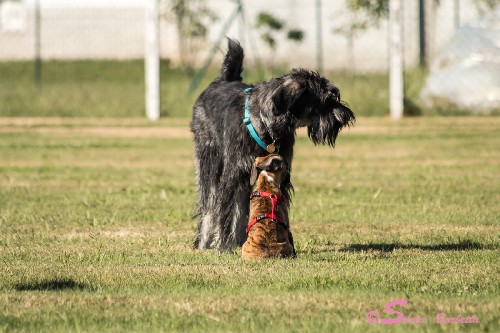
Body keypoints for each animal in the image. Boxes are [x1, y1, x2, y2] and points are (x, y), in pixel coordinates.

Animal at [189, 39, 354, 250]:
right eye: (326, 100)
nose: (347, 116)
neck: (266, 125)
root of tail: (222, 81)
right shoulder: (233, 175)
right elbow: (225, 211)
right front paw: (224, 246)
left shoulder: (279, 175)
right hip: (208, 162)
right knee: (208, 205)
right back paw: (205, 242)